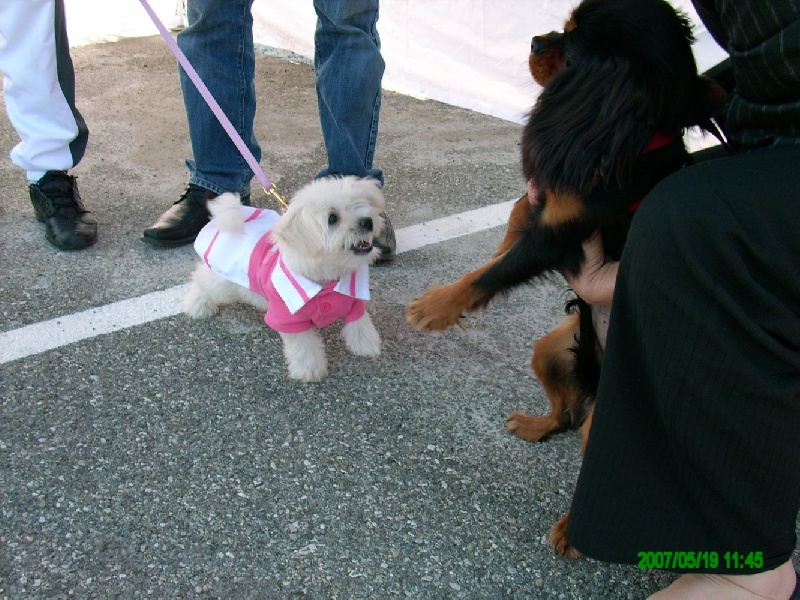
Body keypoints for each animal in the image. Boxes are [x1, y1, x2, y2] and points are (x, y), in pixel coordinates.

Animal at [188, 176, 388, 382]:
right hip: (225, 284)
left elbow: (360, 324)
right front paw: (310, 370)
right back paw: (196, 305)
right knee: (201, 278)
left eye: (359, 204)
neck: (326, 277)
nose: (367, 222)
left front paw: (366, 345)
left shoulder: (355, 301)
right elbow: (302, 346)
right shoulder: (287, 319)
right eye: (332, 218)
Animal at [410, 0, 728, 556]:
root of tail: (597, 385)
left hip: (606, 423)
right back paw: (535, 426)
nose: (537, 40)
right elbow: (512, 224)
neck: (629, 138)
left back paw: (570, 531)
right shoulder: (542, 207)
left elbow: (492, 271)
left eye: (572, 46)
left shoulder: (559, 235)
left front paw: (438, 304)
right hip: (552, 350)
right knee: (565, 415)